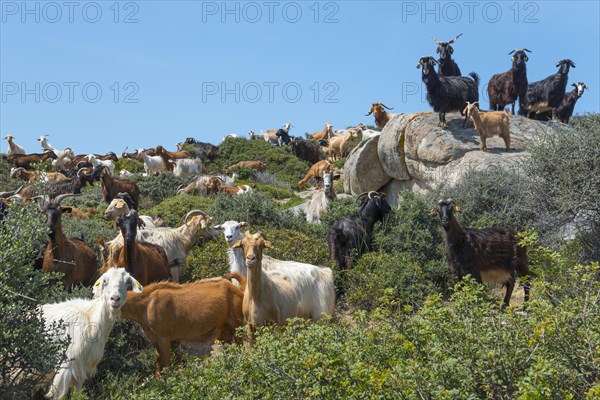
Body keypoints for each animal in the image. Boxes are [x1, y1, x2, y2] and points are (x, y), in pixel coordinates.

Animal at [41, 268, 142, 400]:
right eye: (105, 281)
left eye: (127, 282)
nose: (115, 298)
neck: (91, 320)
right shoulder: (66, 367)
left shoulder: (81, 368)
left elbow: (76, 394)